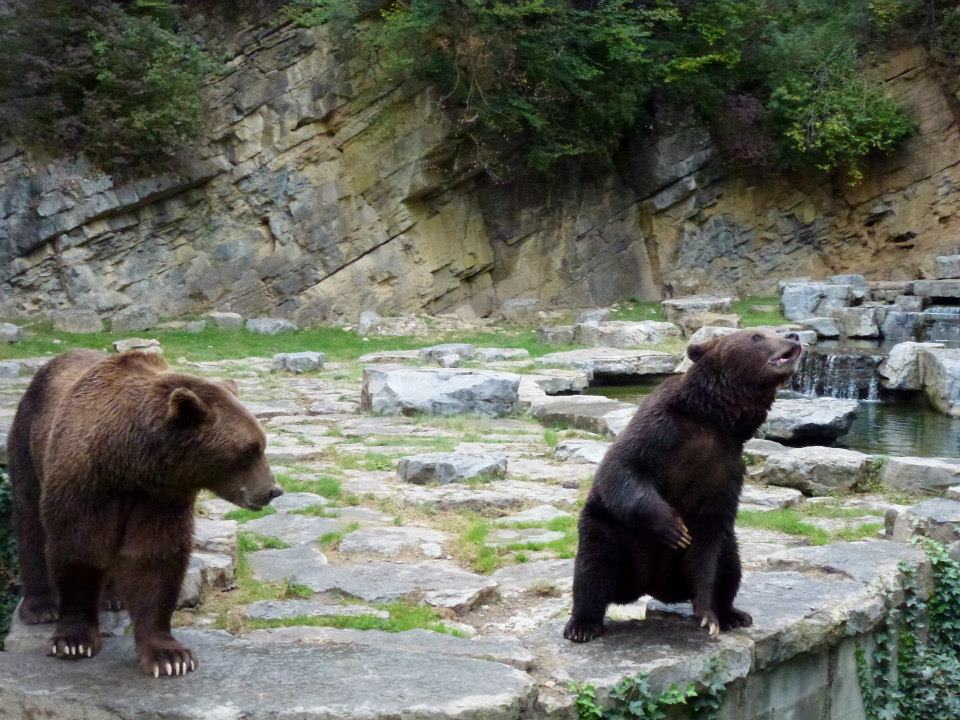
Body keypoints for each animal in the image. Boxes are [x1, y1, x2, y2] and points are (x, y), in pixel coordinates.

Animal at [8, 349, 283, 677]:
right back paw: (41, 607)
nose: (273, 490)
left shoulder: (160, 498)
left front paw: (170, 657)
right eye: (250, 449)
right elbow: (78, 546)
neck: (128, 463)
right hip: (28, 442)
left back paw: (112, 597)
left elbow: (154, 559)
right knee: (31, 522)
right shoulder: (85, 481)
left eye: (262, 444)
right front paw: (74, 641)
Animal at [563, 328, 802, 642]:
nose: (793, 336)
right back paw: (582, 626)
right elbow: (622, 470)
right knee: (593, 569)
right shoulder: (660, 430)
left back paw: (733, 614)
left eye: (772, 332)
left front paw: (708, 616)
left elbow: (708, 545)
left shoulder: (725, 469)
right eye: (757, 336)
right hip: (609, 531)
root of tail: (649, 587)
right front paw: (674, 528)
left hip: (722, 546)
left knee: (730, 565)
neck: (713, 419)